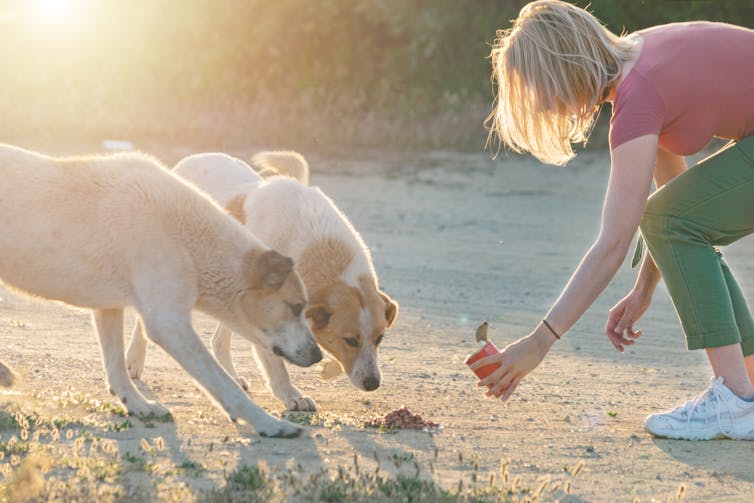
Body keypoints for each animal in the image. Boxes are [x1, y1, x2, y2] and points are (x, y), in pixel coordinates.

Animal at [0, 144, 320, 440]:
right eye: (296, 306)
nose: (317, 355)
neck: (191, 238)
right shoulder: (169, 325)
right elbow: (223, 383)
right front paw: (269, 423)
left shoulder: (109, 308)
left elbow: (117, 368)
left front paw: (139, 406)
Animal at [128, 152, 400, 412]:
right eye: (350, 340)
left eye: (380, 339)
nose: (373, 383)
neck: (319, 244)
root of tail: (188, 161)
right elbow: (276, 365)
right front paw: (292, 396)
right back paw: (133, 360)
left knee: (219, 340)